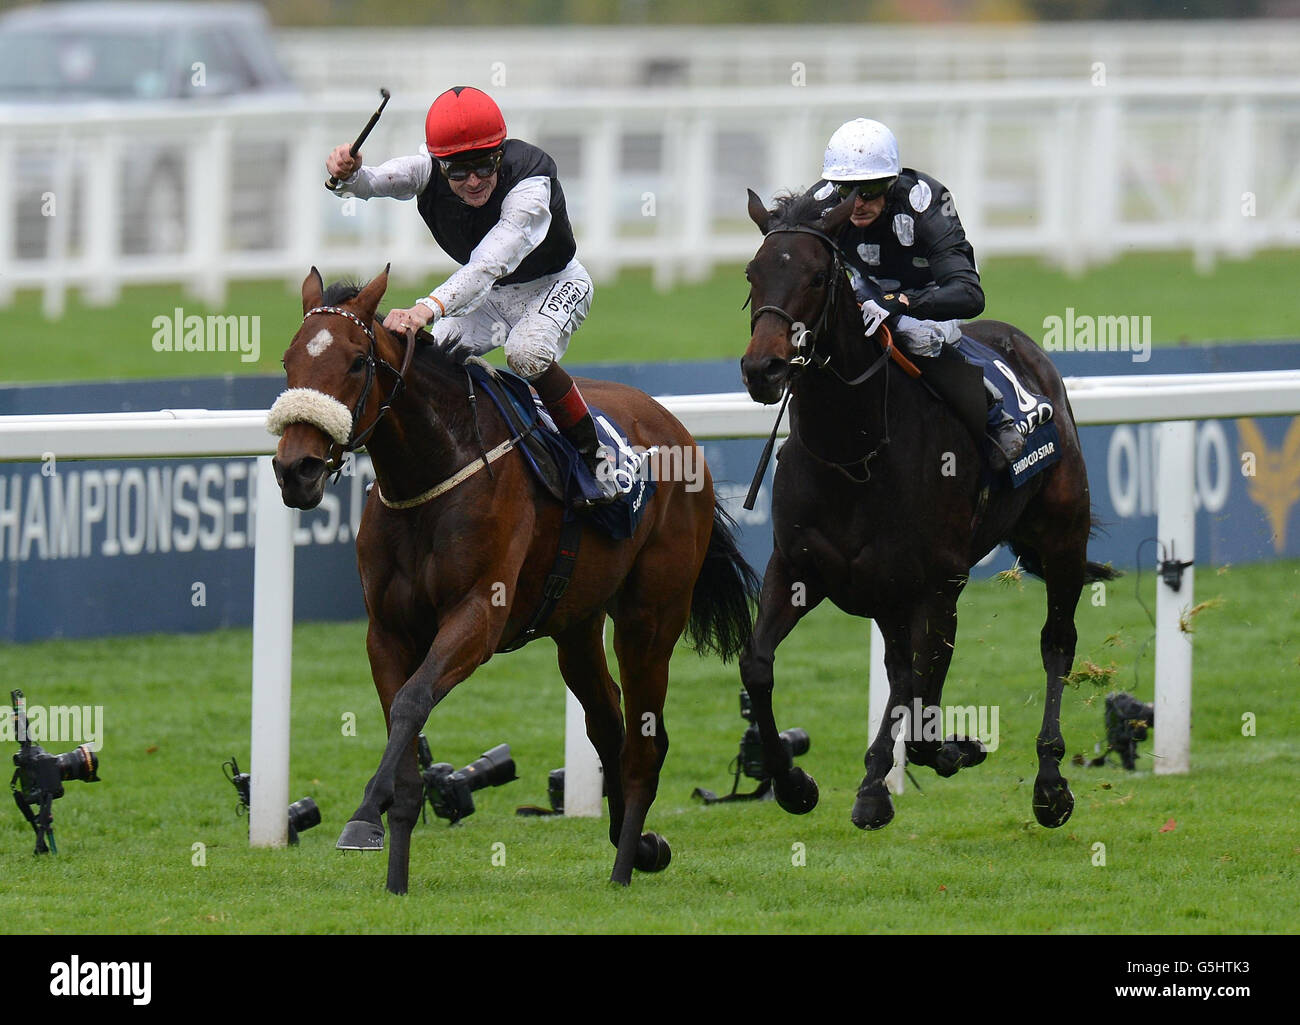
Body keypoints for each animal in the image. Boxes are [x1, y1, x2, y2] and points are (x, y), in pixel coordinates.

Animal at [274, 267, 759, 894]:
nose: (296, 469)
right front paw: (393, 871)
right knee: (608, 720)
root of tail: (675, 424)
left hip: (651, 619)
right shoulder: (386, 631)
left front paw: (362, 816)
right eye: (288, 361)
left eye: (357, 361)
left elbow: (413, 701)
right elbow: (403, 731)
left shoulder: (479, 615)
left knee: (644, 745)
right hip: (576, 625)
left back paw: (625, 866)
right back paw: (641, 845)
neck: (433, 473)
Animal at [738, 189, 1112, 832]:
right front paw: (795, 785)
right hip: (889, 594)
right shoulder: (797, 568)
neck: (856, 454)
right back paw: (872, 787)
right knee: (901, 673)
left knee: (1056, 643)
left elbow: (922, 713)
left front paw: (958, 748)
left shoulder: (940, 585)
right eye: (752, 273)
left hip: (1061, 538)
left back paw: (1049, 784)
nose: (764, 368)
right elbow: (759, 666)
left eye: (817, 276)